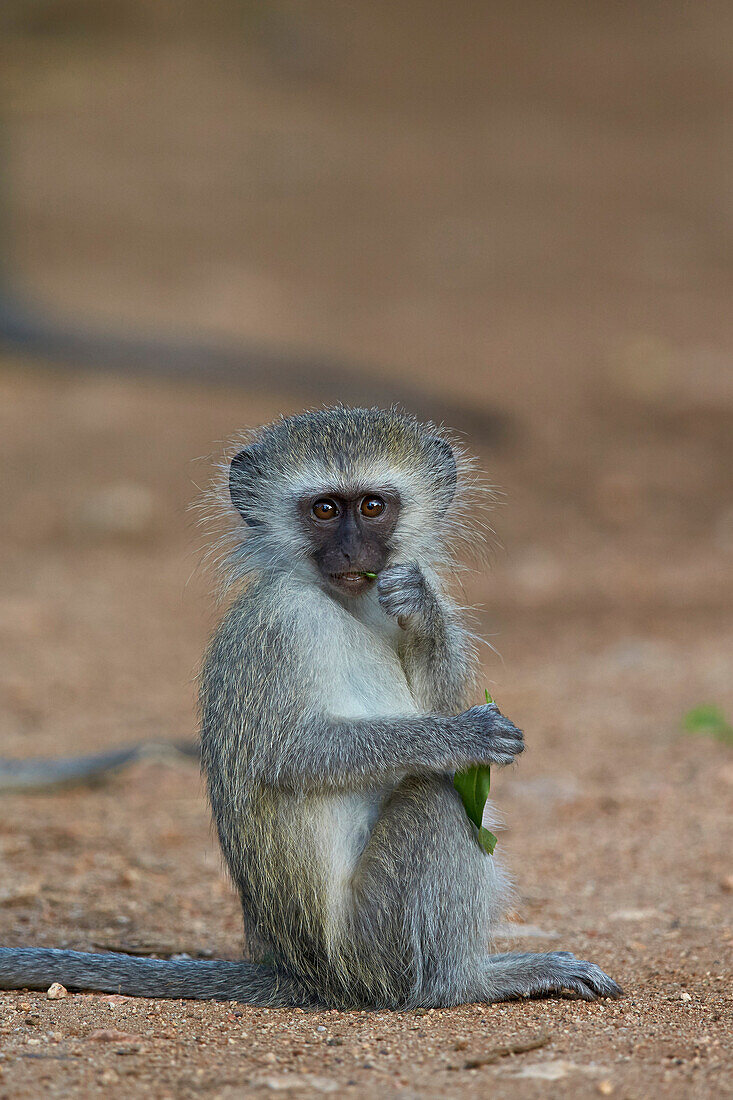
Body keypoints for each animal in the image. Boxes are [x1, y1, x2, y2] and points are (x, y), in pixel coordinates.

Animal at [0, 411, 620, 1007]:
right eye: (325, 509)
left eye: (372, 506)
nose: (351, 553)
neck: (343, 602)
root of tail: (307, 974)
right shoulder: (284, 622)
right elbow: (292, 752)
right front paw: (465, 737)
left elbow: (433, 690)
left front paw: (419, 603)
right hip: (375, 945)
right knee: (438, 800)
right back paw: (464, 983)